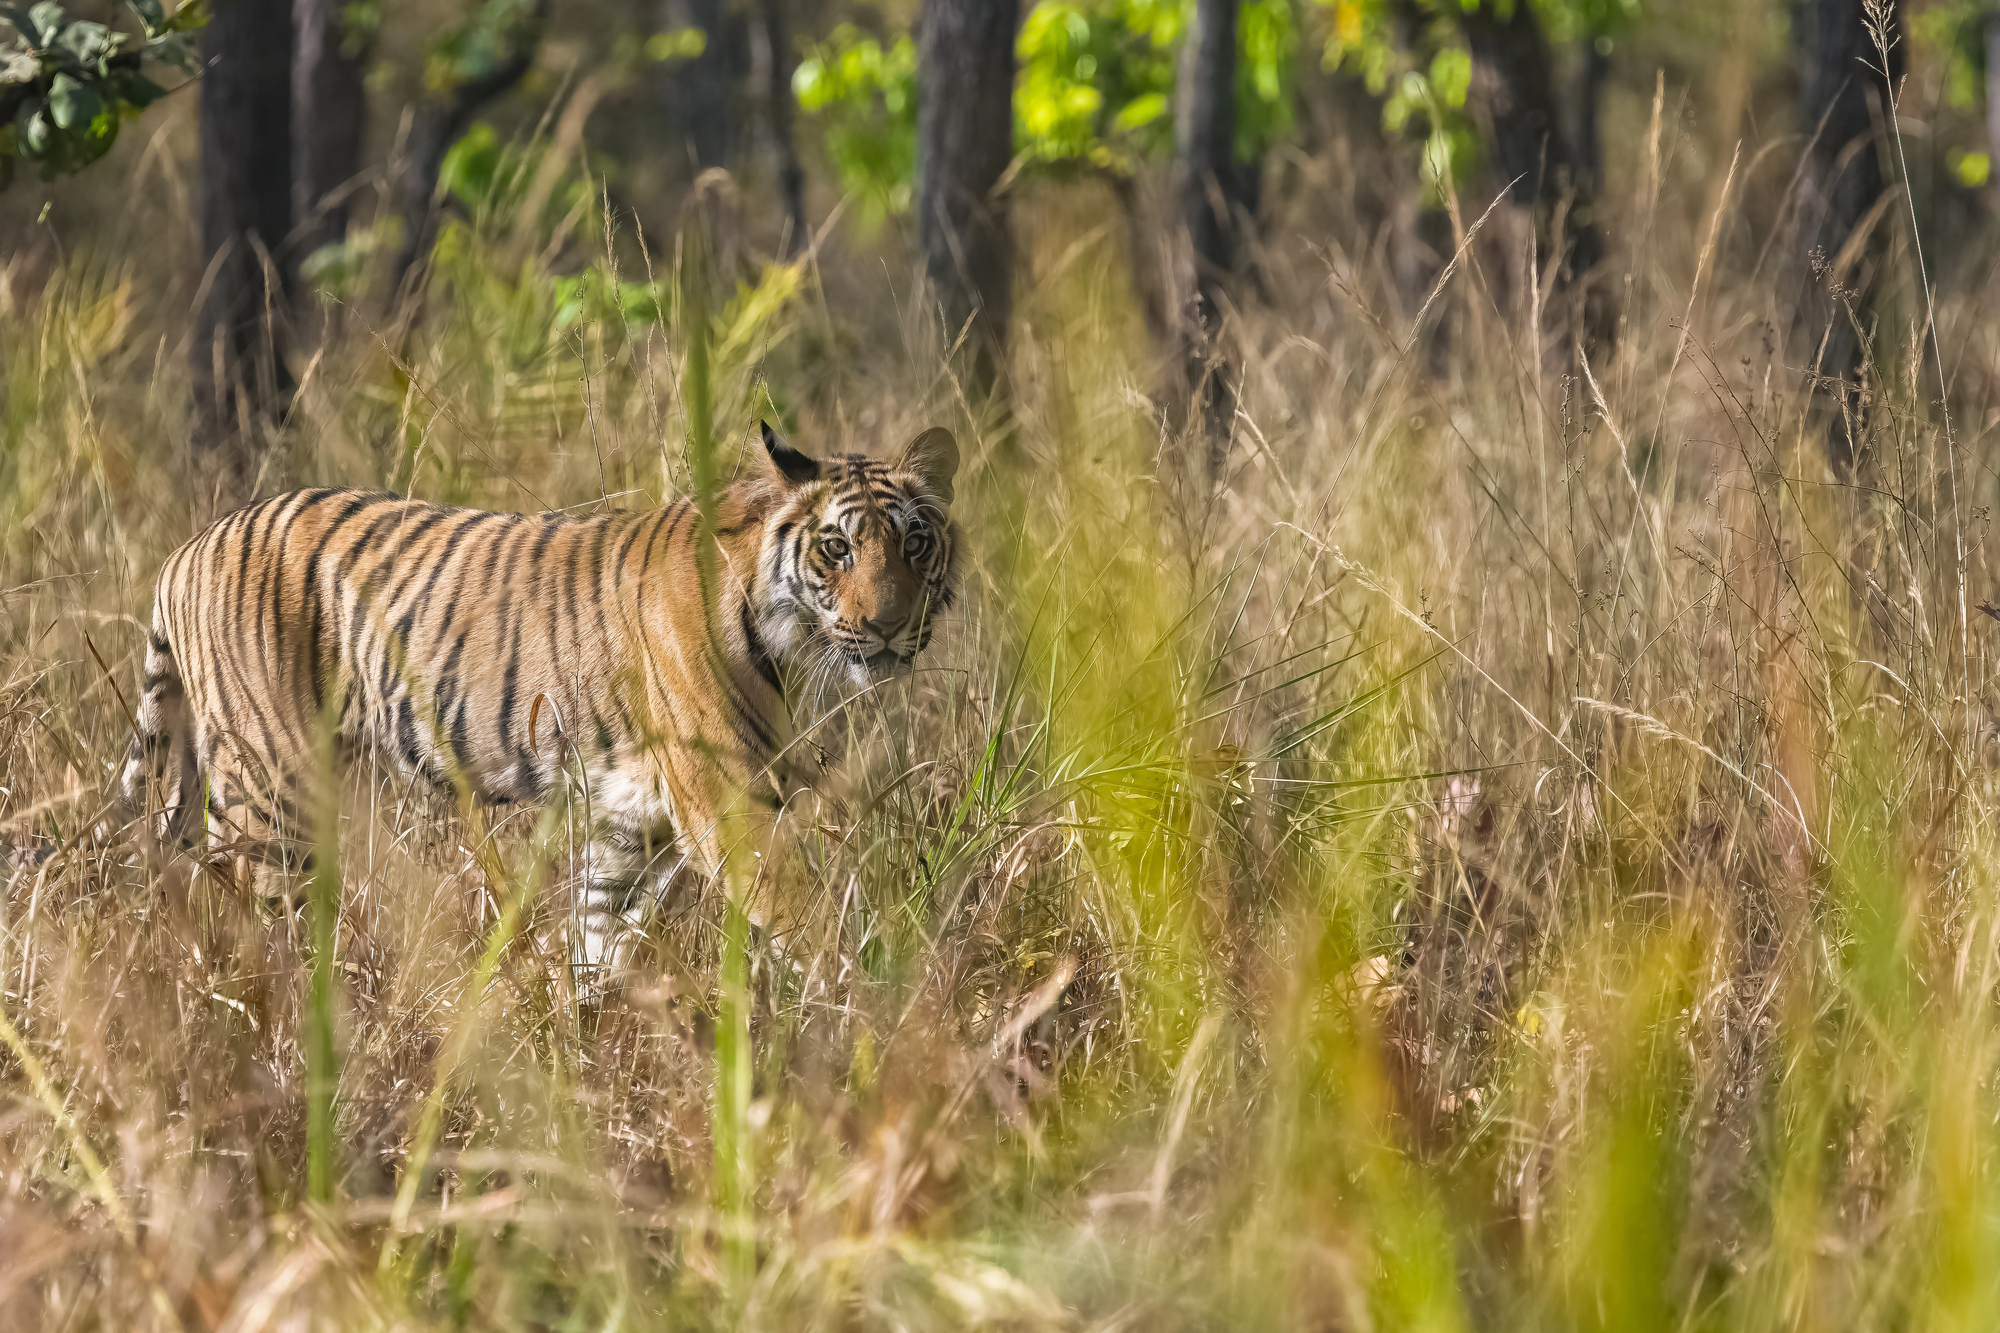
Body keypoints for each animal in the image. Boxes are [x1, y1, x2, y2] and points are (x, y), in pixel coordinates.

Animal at [118, 421, 960, 977]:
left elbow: (598, 936)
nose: (890, 625)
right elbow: (808, 914)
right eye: (837, 547)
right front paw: (878, 1010)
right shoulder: (729, 803)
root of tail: (186, 548)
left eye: (916, 543)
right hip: (269, 794)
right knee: (246, 916)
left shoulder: (628, 821)